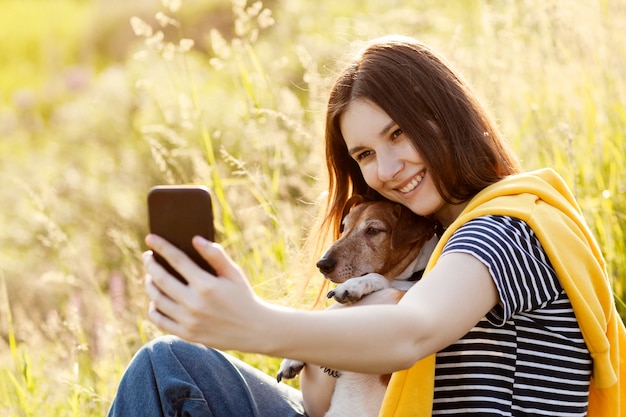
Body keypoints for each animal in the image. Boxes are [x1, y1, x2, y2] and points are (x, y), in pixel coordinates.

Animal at [276, 195, 436, 416]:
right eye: (344, 227)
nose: (322, 264)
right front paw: (291, 359)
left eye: (373, 230)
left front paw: (354, 285)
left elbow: (378, 278)